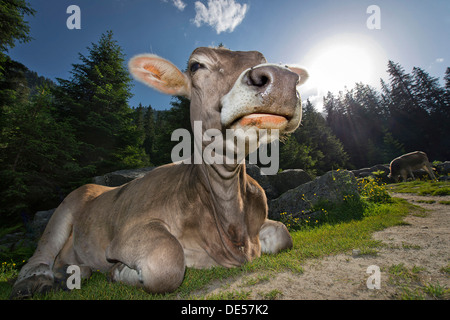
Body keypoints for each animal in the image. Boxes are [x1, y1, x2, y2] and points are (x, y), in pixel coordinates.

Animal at [12, 47, 312, 298]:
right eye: (196, 65)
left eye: (262, 59)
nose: (281, 78)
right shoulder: (132, 230)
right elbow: (167, 262)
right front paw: (119, 272)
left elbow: (284, 235)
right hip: (67, 205)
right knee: (41, 252)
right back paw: (36, 282)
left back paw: (72, 274)